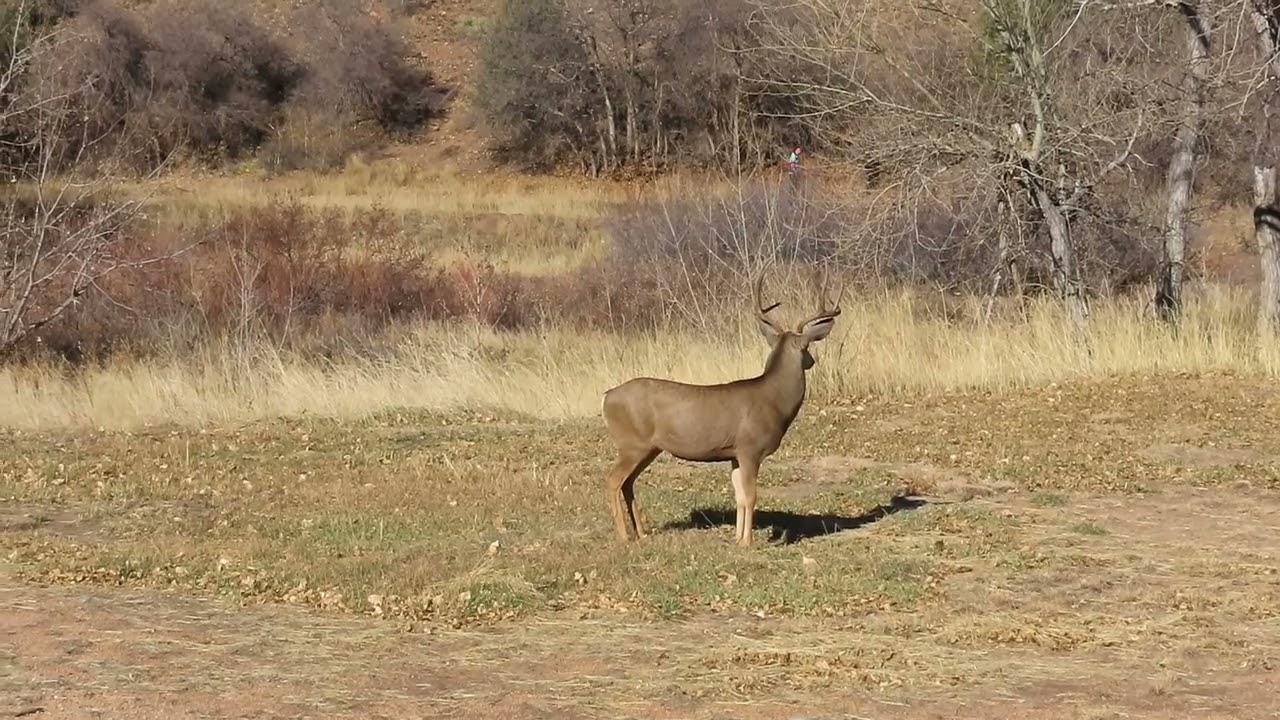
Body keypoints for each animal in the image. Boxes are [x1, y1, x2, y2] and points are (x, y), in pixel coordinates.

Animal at [600, 271, 842, 546]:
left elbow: (739, 496)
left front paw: (737, 538)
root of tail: (607, 397)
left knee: (628, 482)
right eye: (807, 348)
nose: (811, 361)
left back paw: (641, 532)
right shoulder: (750, 448)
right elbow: (751, 495)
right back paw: (624, 536)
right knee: (613, 480)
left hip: (648, 447)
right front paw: (747, 542)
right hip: (632, 443)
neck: (774, 402)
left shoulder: (734, 453)